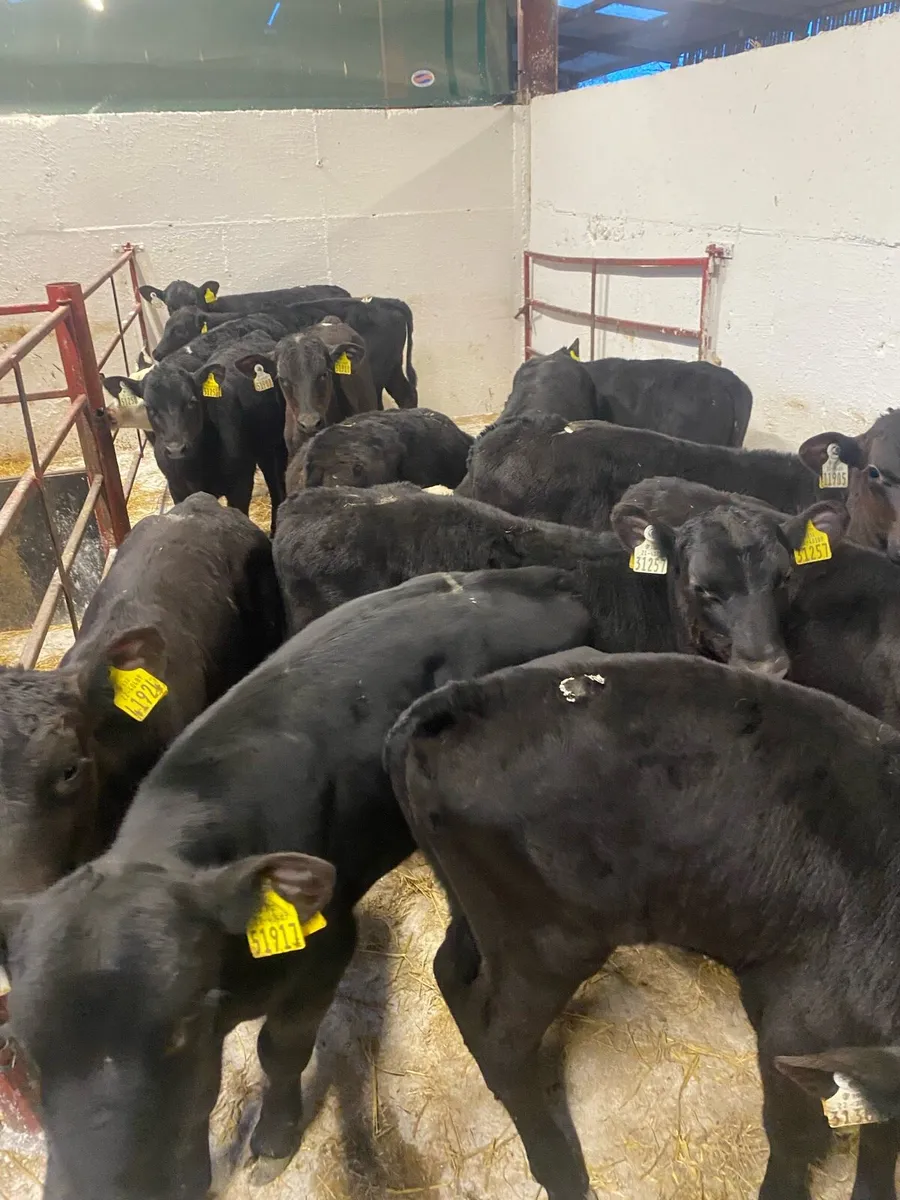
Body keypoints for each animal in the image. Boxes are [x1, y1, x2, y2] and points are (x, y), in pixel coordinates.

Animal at [103, 332, 287, 533]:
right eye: (149, 407)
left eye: (191, 401)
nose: (176, 449)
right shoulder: (177, 489)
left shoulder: (241, 485)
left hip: (272, 450)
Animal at [386, 650, 900, 1200]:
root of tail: (462, 698)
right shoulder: (797, 1027)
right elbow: (795, 1131)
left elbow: (879, 1135)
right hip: (550, 944)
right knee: (503, 1043)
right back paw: (559, 1171)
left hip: (481, 910)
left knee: (451, 968)